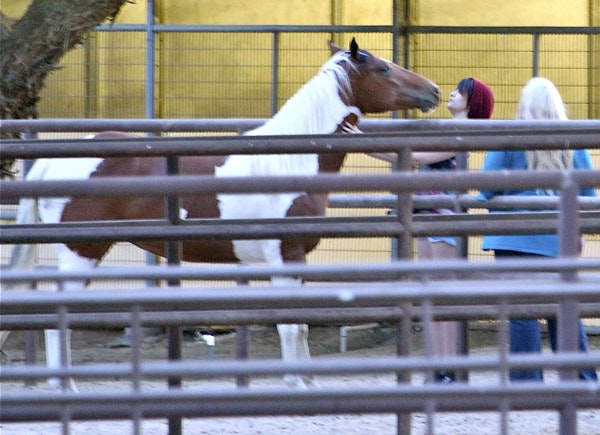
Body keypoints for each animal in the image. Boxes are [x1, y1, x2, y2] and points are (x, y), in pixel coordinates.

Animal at [4, 38, 440, 392]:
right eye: (382, 68)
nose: (433, 90)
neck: (289, 161)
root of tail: (50, 164)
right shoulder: (283, 258)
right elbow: (291, 324)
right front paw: (295, 380)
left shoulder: (298, 258)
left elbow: (300, 324)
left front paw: (309, 378)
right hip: (81, 252)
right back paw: (67, 386)